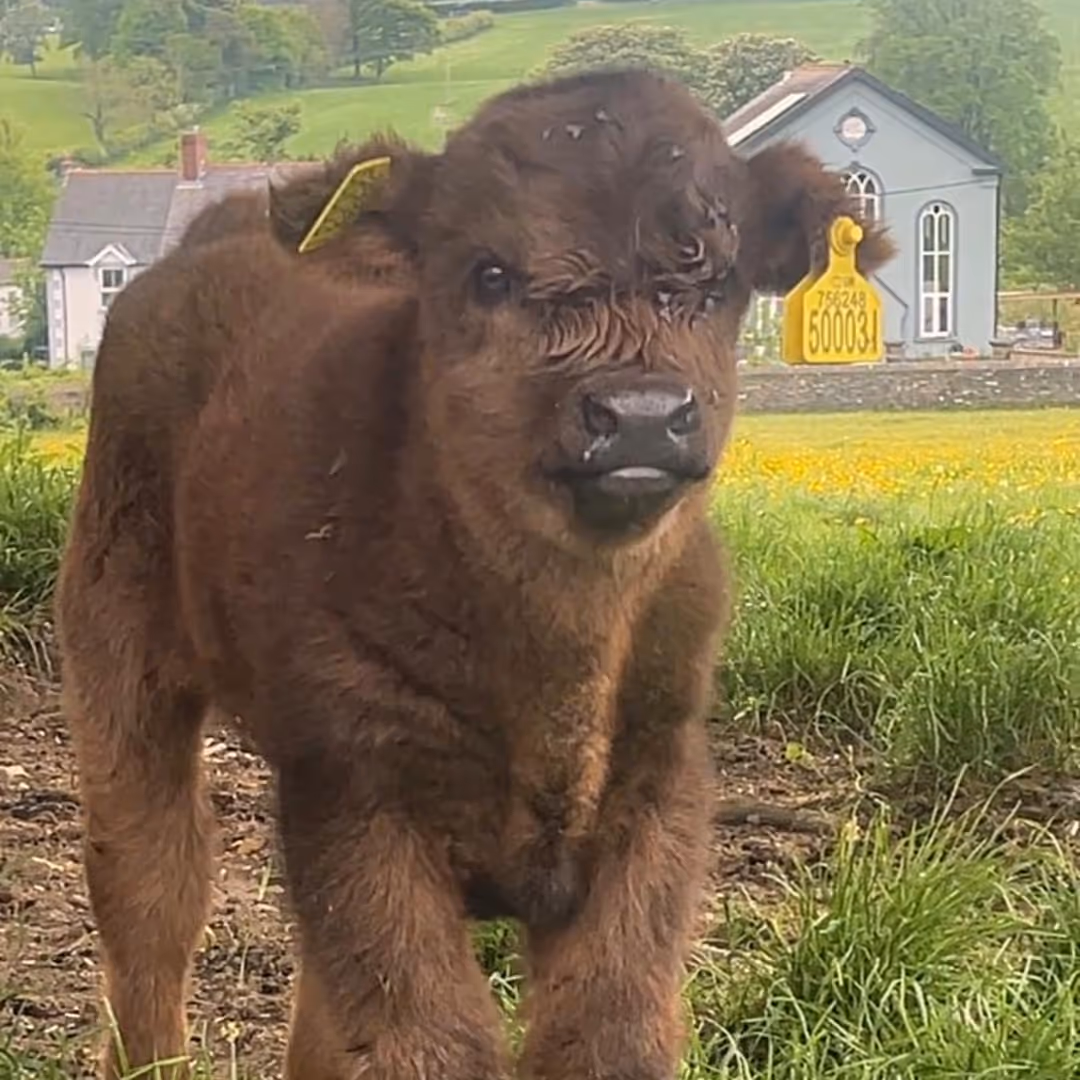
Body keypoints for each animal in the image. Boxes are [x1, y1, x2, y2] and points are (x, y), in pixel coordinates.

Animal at [54, 68, 894, 1080]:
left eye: (716, 278)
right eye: (488, 272)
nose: (639, 416)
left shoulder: (658, 791)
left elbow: (606, 1032)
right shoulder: (362, 795)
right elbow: (427, 1039)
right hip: (118, 653)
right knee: (152, 893)